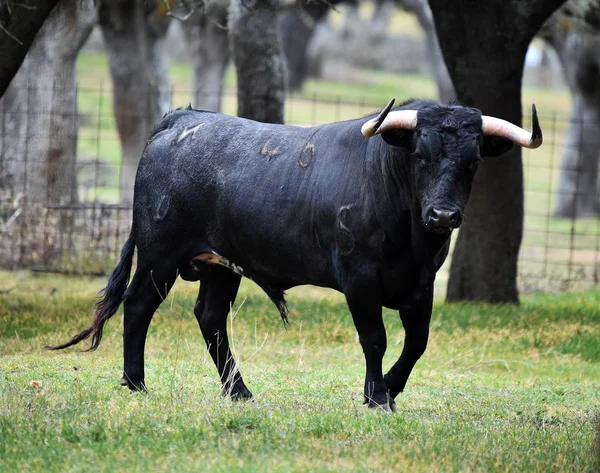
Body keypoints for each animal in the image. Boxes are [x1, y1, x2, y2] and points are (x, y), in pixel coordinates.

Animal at [49, 98, 540, 410]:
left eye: (473, 160)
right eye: (420, 154)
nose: (442, 214)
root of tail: (180, 120)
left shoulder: (422, 285)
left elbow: (416, 343)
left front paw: (388, 389)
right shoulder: (360, 280)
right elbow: (375, 339)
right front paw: (377, 396)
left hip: (221, 266)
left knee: (210, 319)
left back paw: (239, 392)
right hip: (158, 255)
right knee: (138, 306)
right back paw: (136, 382)